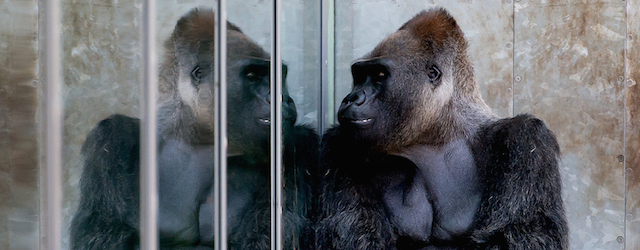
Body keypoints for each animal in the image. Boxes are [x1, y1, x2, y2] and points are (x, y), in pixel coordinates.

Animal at [70, 7, 318, 250]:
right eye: (251, 75)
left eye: (279, 75)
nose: (283, 98)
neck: (199, 135)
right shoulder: (113, 140)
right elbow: (104, 235)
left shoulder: (298, 146)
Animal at [316, 8, 564, 250]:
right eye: (359, 76)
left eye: (379, 75)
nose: (351, 98)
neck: (438, 132)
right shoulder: (338, 146)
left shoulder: (526, 140)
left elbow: (521, 238)